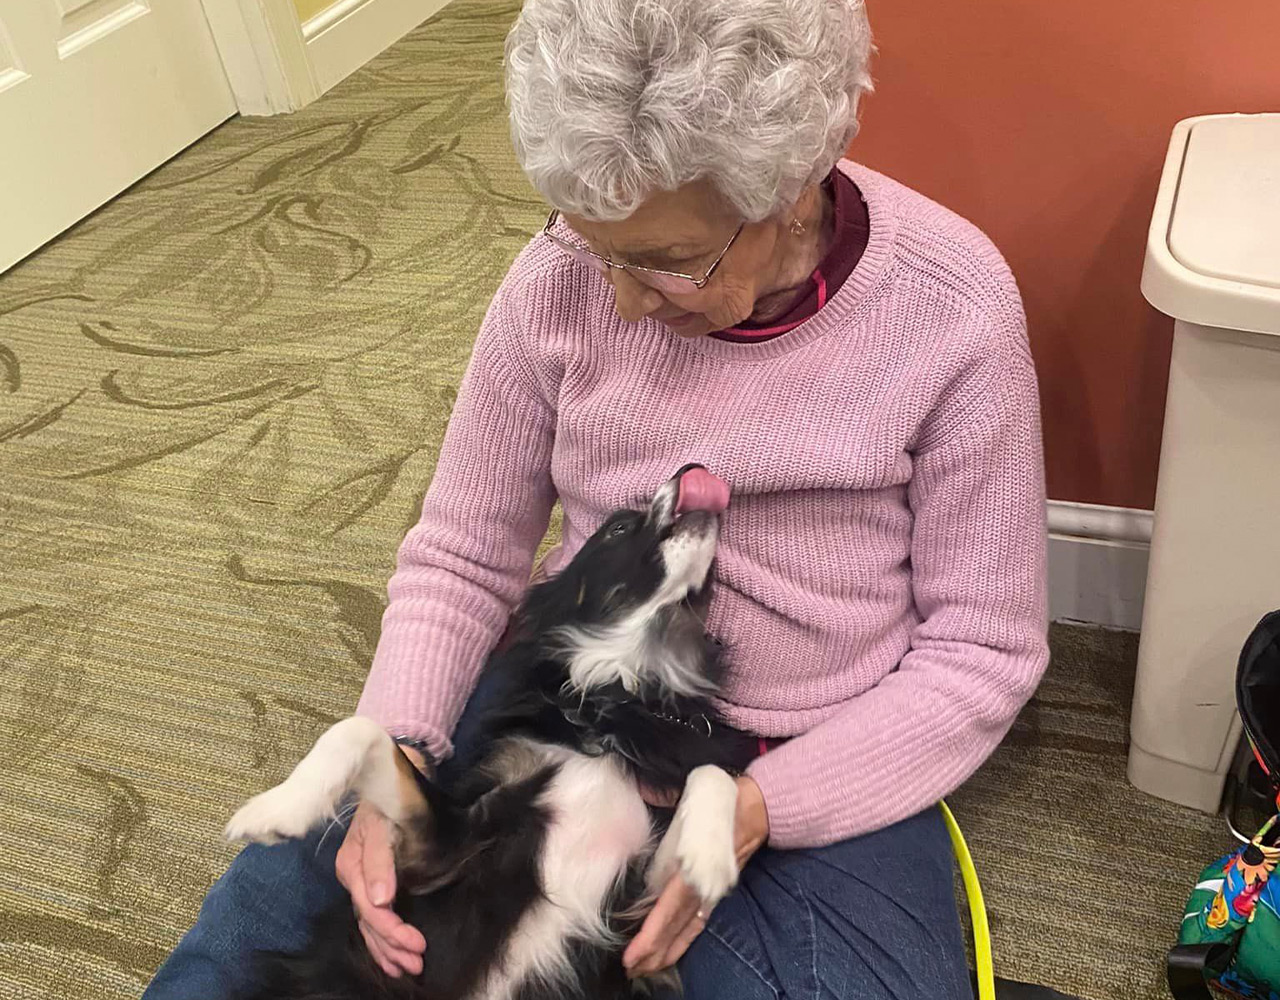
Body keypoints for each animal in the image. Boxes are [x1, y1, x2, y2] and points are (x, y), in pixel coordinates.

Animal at [227, 463, 757, 993]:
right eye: (619, 528)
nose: (692, 471)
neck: (616, 698)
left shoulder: (640, 926)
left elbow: (712, 774)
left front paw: (710, 858)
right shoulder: (439, 852)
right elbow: (359, 729)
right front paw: (276, 809)